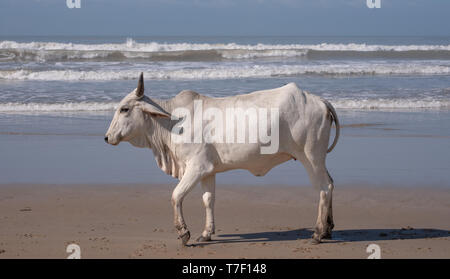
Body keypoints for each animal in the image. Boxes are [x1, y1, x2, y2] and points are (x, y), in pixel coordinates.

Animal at [104, 73, 338, 246]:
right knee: (331, 184)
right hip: (318, 159)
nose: (107, 137)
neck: (171, 122)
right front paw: (206, 233)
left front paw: (183, 233)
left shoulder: (196, 167)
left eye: (124, 109)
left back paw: (318, 233)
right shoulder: (208, 170)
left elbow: (176, 195)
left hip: (311, 157)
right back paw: (328, 229)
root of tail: (319, 100)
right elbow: (208, 200)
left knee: (324, 188)